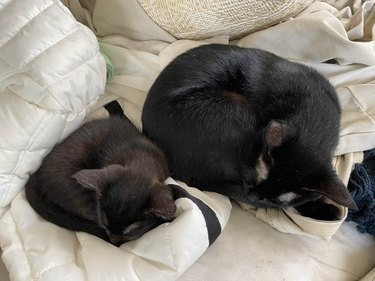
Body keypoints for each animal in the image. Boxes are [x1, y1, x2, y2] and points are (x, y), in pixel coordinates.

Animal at [143, 43, 358, 221]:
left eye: (274, 199)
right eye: (253, 179)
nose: (252, 196)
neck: (315, 108)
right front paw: (323, 209)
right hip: (238, 110)